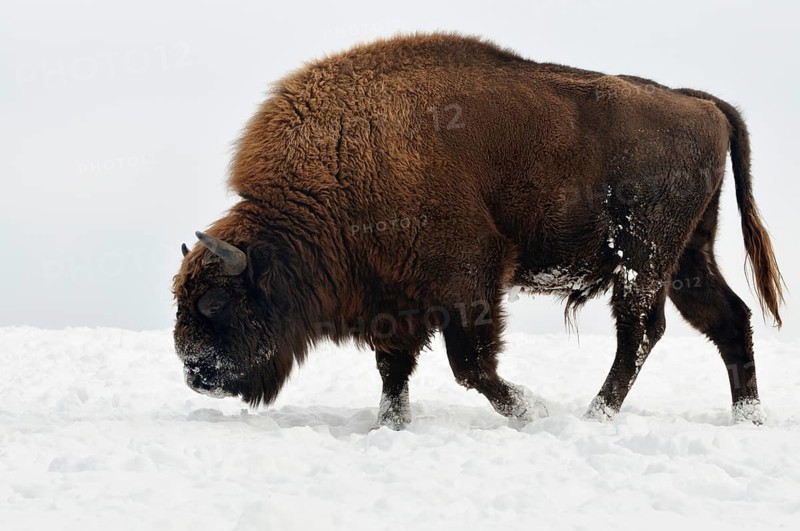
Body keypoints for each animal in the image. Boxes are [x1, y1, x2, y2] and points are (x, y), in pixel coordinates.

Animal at [173, 33, 783, 428]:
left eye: (216, 303)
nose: (194, 372)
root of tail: (702, 104)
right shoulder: (395, 300)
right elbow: (394, 369)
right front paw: (390, 425)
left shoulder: (469, 277)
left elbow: (469, 366)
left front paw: (532, 411)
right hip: (688, 257)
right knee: (727, 319)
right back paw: (747, 418)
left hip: (644, 256)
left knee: (641, 331)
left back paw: (596, 415)